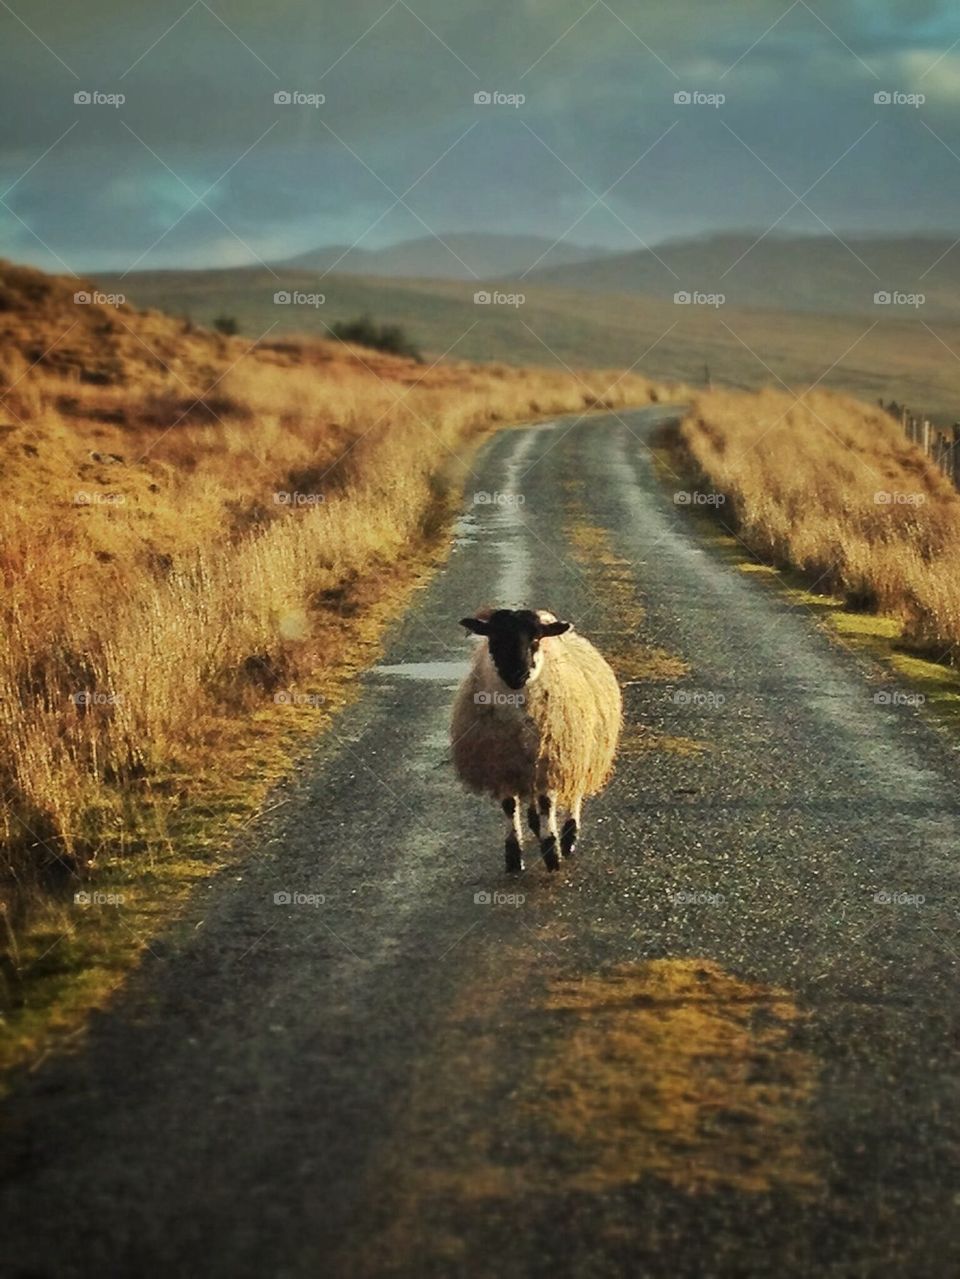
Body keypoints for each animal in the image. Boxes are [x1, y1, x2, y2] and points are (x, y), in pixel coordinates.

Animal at [452, 606, 623, 869]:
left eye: (535, 639)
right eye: (494, 638)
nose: (517, 674)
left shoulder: (551, 760)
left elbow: (547, 802)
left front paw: (552, 851)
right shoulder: (503, 766)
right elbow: (509, 805)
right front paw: (514, 855)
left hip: (576, 752)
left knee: (574, 792)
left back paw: (569, 836)